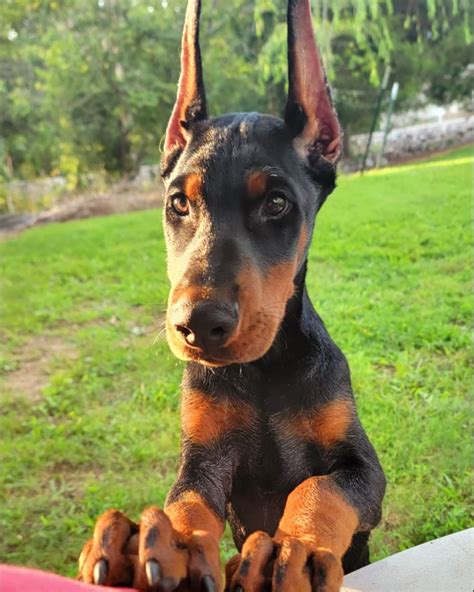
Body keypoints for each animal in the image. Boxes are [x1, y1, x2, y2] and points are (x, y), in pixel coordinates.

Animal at [78, 1, 386, 592]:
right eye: (178, 202)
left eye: (277, 203)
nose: (197, 326)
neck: (264, 370)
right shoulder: (203, 460)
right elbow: (187, 503)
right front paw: (161, 543)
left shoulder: (363, 468)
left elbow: (319, 488)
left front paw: (297, 549)